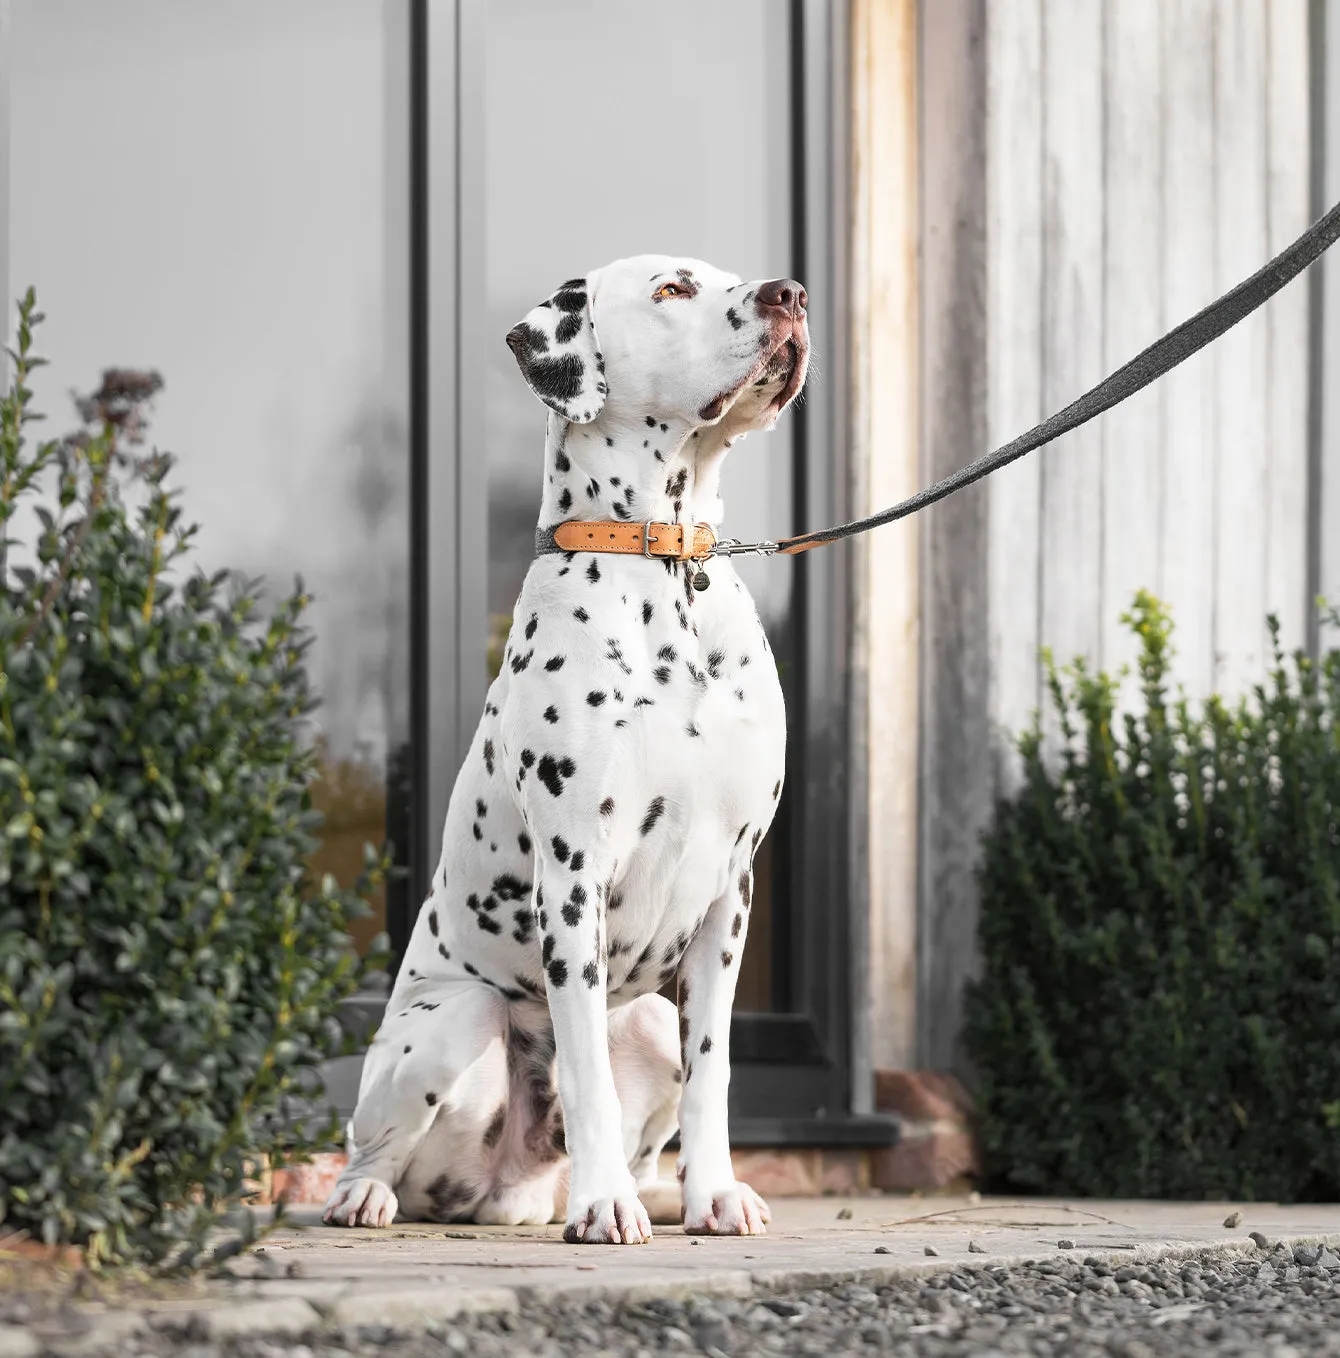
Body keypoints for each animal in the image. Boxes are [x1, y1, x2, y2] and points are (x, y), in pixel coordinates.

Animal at [319, 255, 814, 1243]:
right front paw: (605, 1207)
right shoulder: (574, 877)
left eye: (734, 276)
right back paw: (372, 1194)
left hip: (651, 1019)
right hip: (454, 1018)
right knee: (376, 1145)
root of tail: (503, 1193)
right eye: (672, 291)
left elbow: (714, 1074)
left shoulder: (730, 895)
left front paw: (713, 1194)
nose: (791, 297)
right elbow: (583, 1067)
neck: (667, 566)